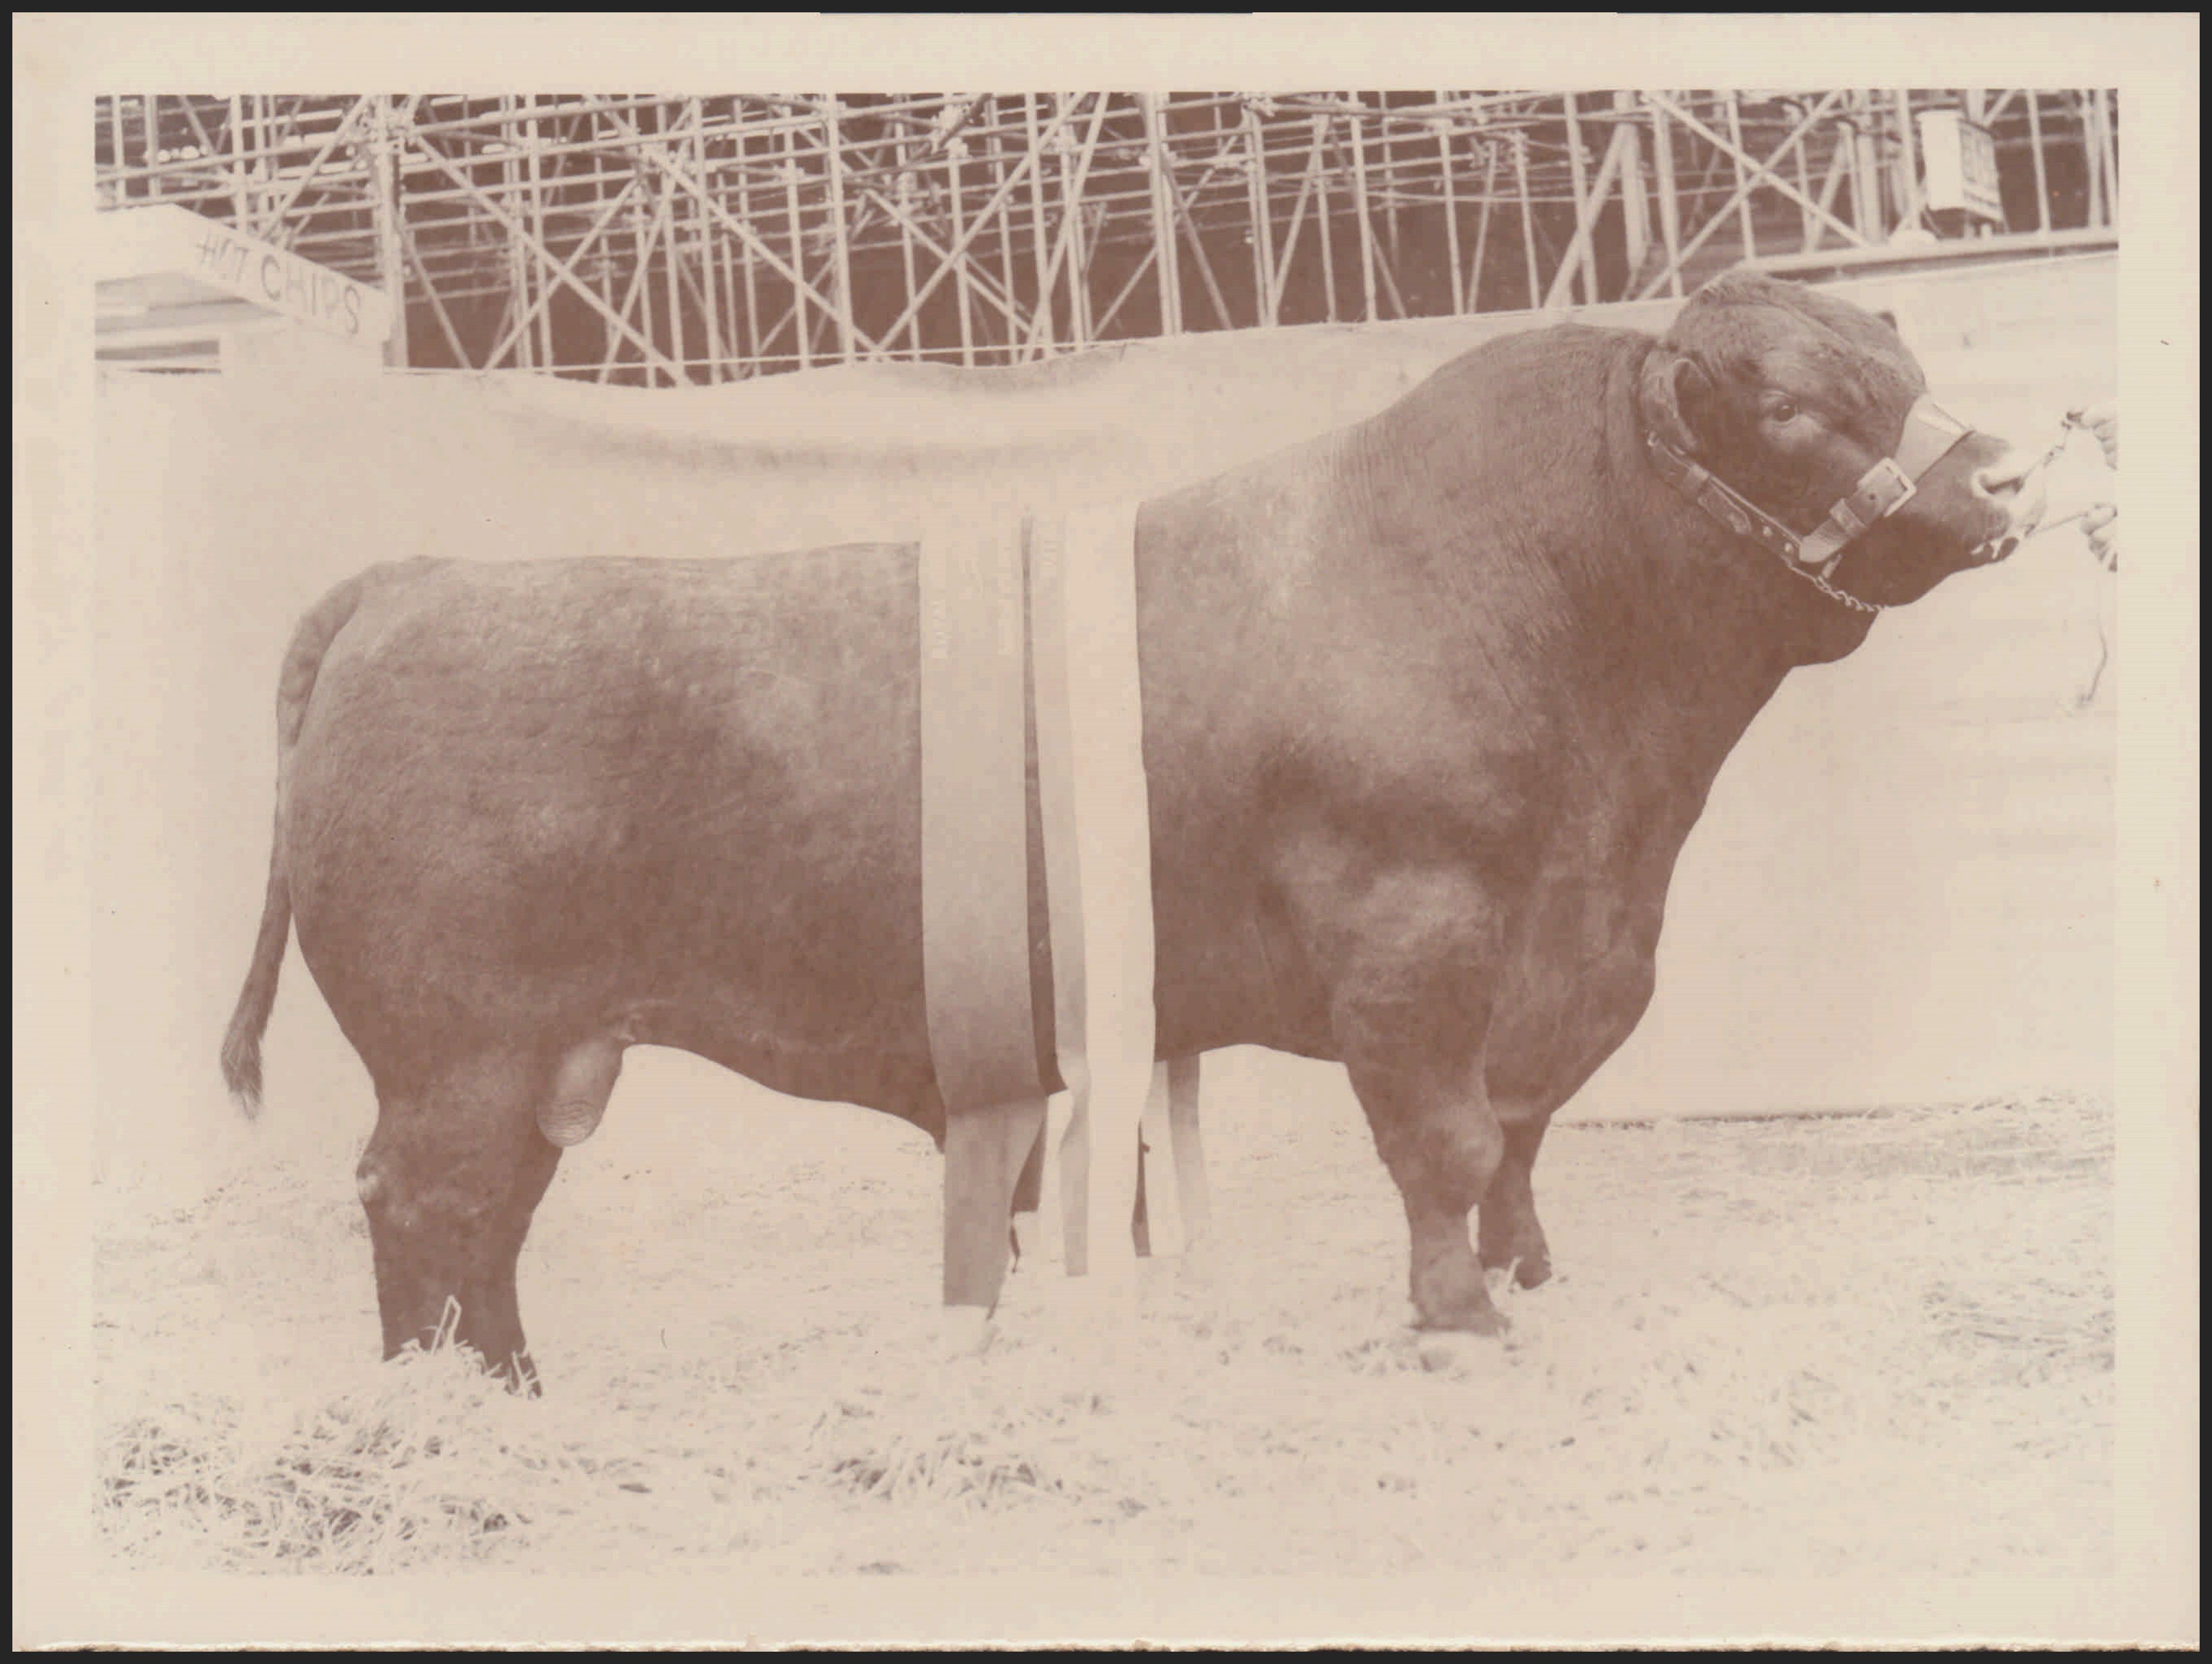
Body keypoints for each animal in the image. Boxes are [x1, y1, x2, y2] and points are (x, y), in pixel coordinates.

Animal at [221, 271, 2046, 1389]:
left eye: (1903, 372)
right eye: (1792, 407)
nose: (1995, 494)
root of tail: (419, 580)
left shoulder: (1557, 962)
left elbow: (1518, 1143)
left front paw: (1527, 1283)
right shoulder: (1414, 941)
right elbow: (1446, 1145)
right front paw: (1457, 1324)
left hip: (536, 1052)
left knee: (488, 1216)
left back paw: (516, 1389)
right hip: (454, 1043)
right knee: (423, 1202)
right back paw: (444, 1410)